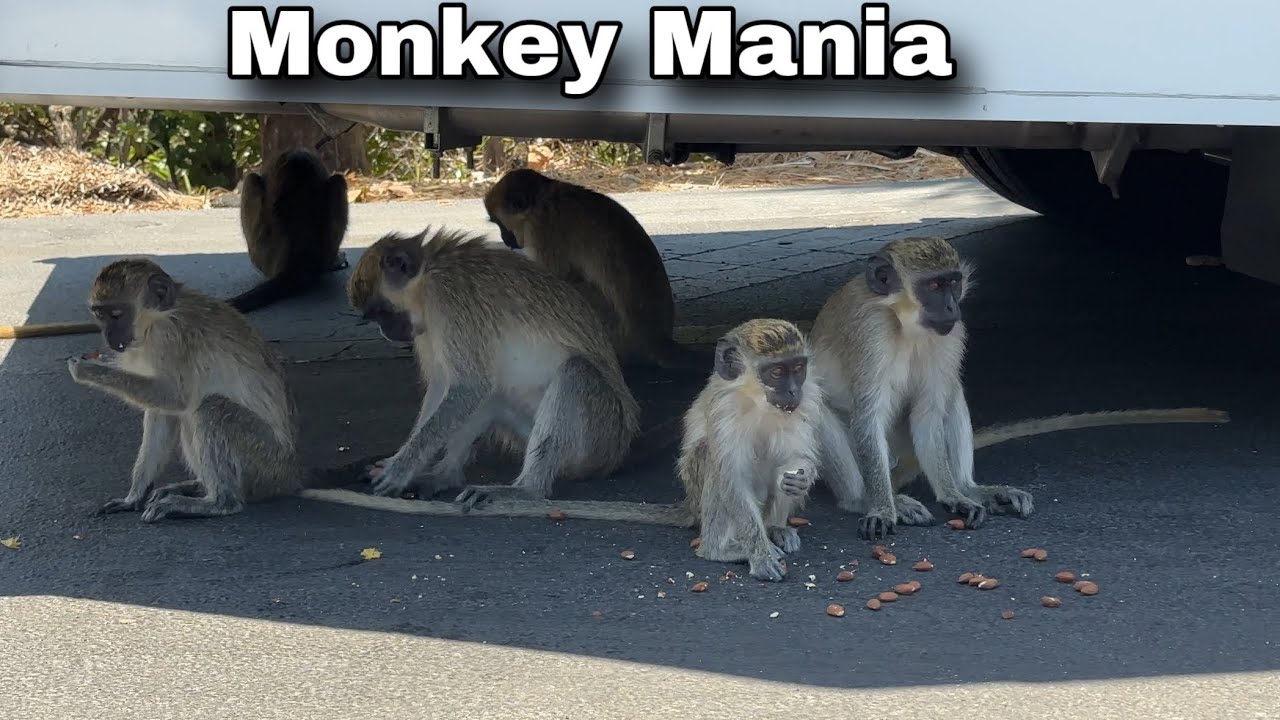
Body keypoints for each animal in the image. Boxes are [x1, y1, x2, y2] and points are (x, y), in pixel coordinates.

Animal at [64, 257, 369, 522]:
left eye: (116, 314)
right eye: (100, 315)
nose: (109, 338)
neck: (159, 318)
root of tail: (291, 473)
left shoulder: (169, 338)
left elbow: (174, 397)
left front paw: (88, 370)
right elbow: (163, 411)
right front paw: (134, 497)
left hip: (265, 461)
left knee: (210, 408)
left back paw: (218, 502)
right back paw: (197, 487)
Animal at [298, 318, 865, 582]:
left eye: (797, 369)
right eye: (775, 372)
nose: (790, 392)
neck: (756, 402)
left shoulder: (805, 404)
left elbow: (798, 456)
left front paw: (795, 483)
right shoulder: (728, 411)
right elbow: (727, 467)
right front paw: (758, 552)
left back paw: (776, 527)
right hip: (699, 497)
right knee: (712, 467)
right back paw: (727, 546)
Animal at [341, 225, 644, 508]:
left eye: (382, 313)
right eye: (375, 317)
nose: (387, 334)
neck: (427, 278)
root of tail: (618, 453)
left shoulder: (450, 300)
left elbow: (468, 386)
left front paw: (400, 468)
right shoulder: (427, 326)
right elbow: (444, 386)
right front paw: (399, 461)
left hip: (602, 438)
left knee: (576, 372)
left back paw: (527, 490)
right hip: (525, 431)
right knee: (492, 391)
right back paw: (445, 475)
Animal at [483, 168, 709, 372]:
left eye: (501, 224)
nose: (505, 239)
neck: (544, 198)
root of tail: (657, 340)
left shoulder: (542, 229)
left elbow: (554, 277)